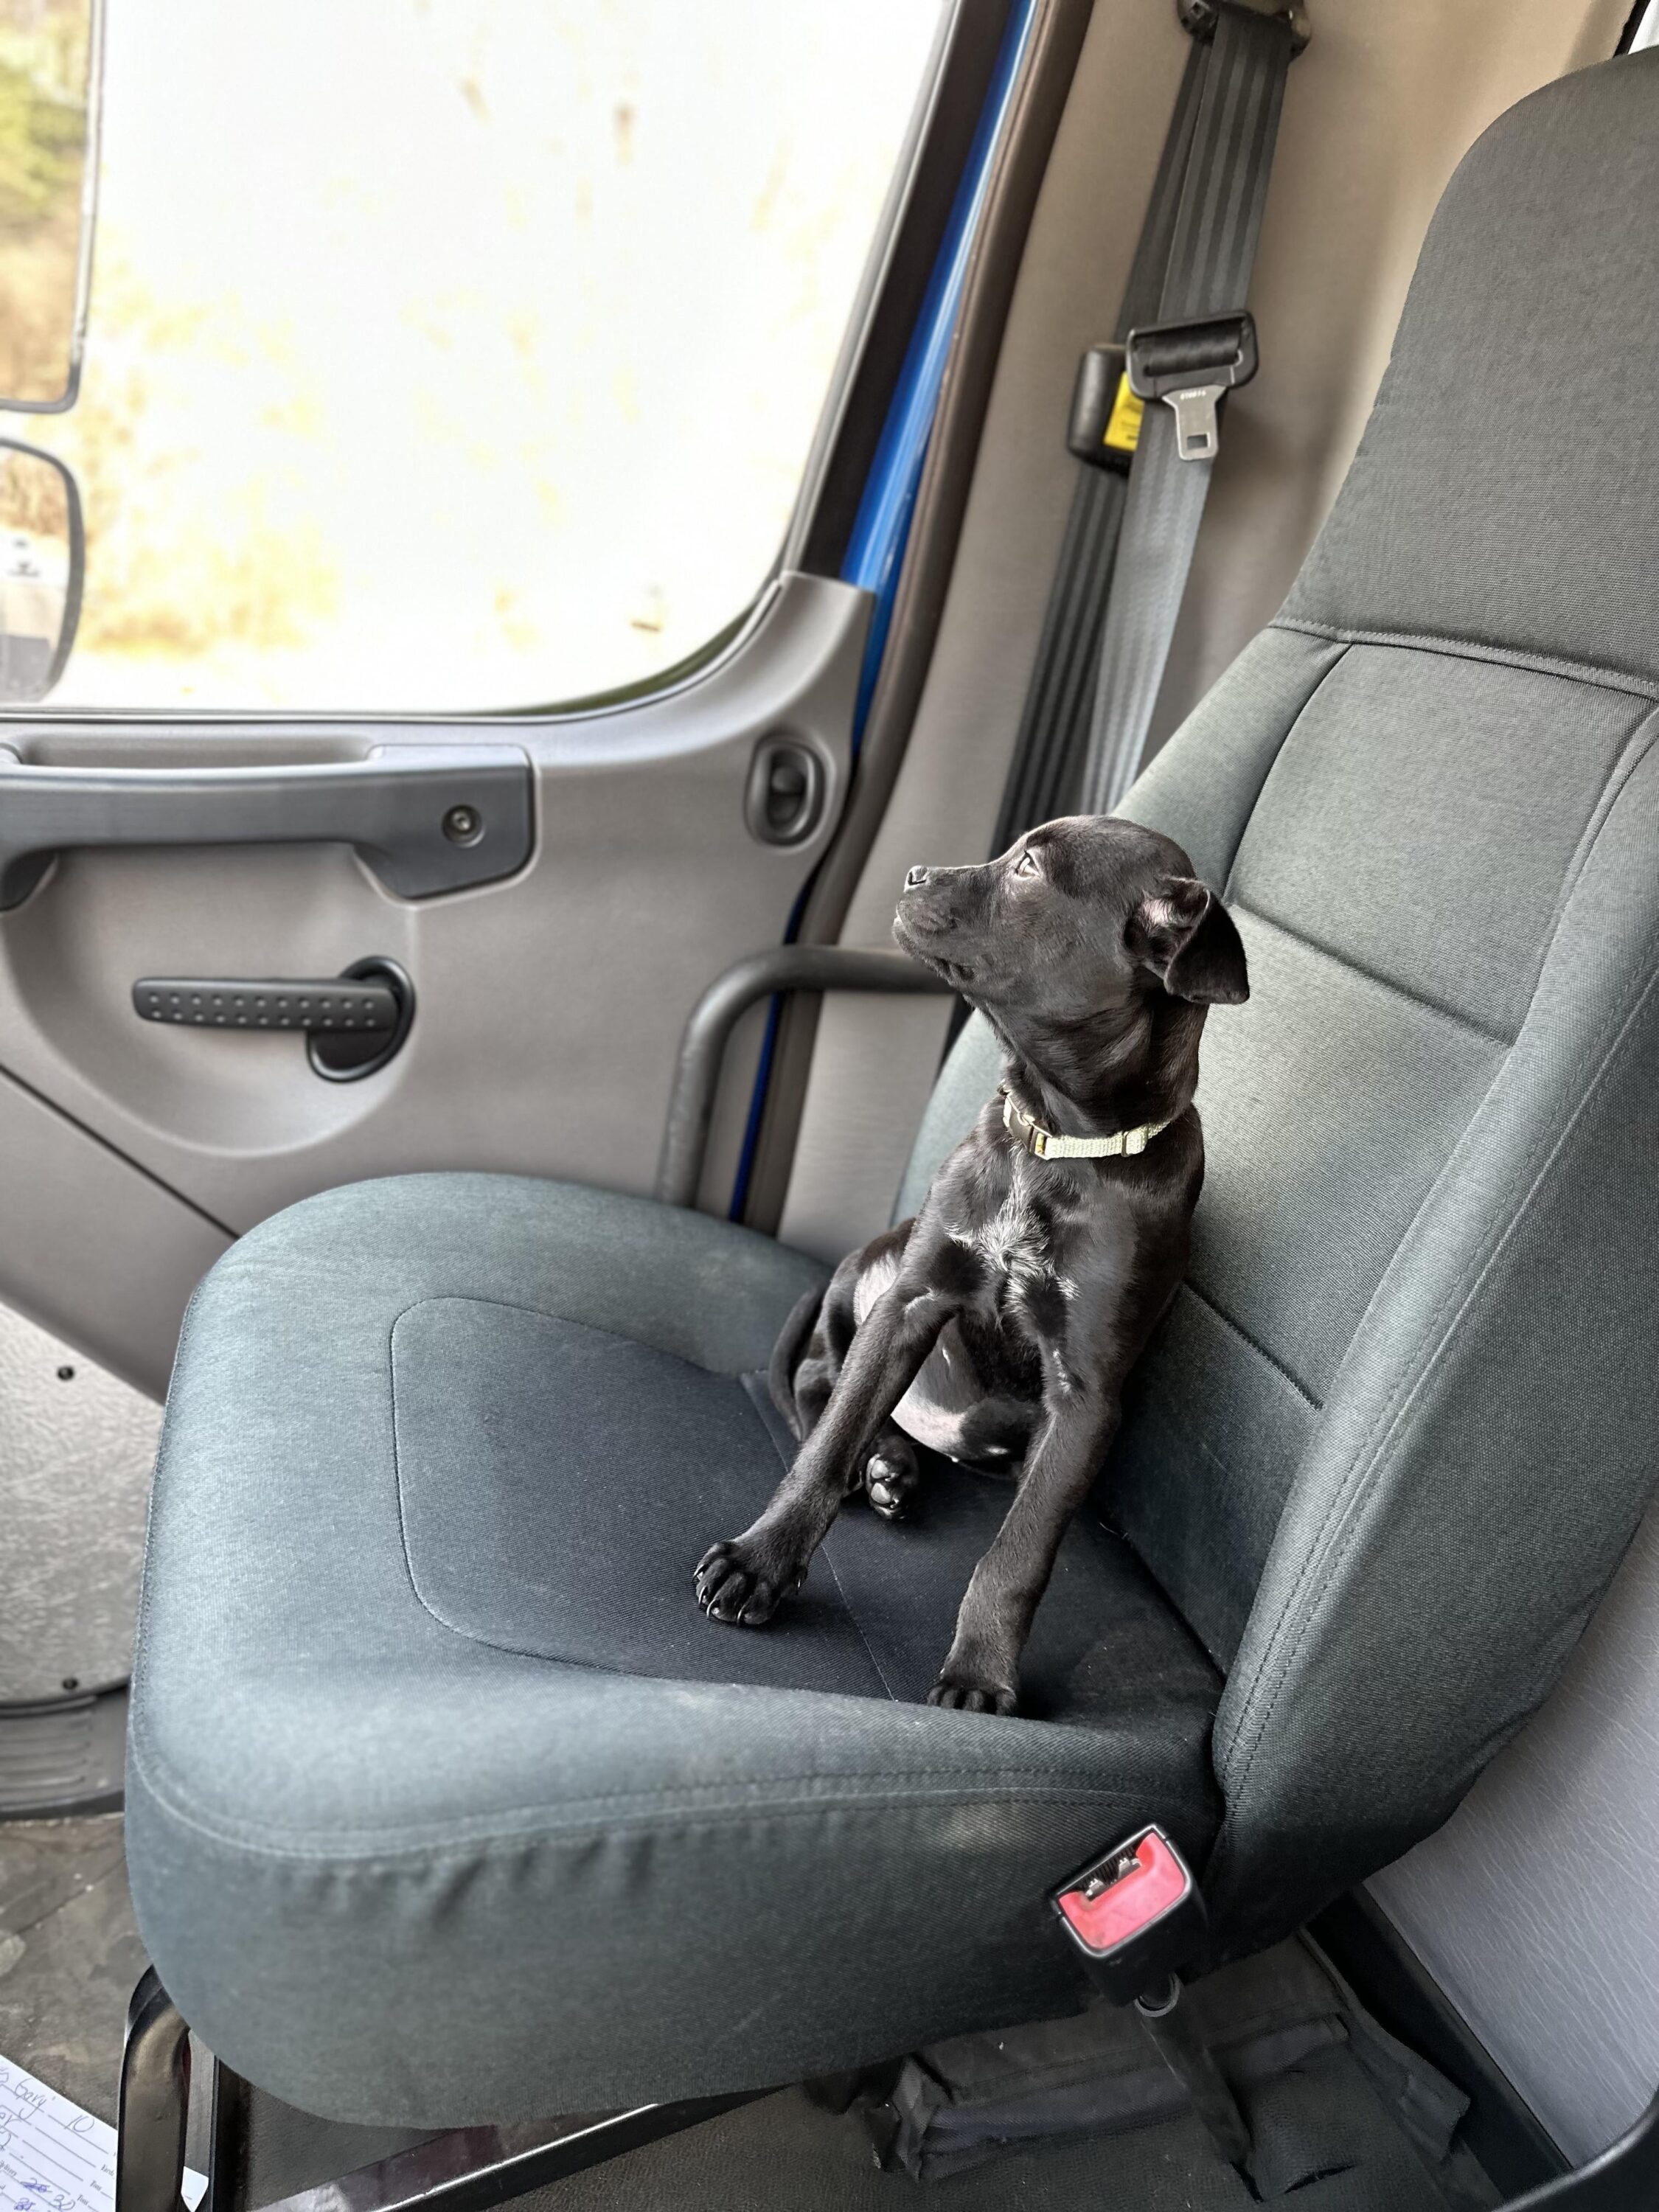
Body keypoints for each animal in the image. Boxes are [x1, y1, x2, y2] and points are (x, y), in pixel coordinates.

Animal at [690, 814, 1248, 1708]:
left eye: (1028, 870)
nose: (915, 872)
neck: (1055, 1142)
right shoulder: (912, 1299)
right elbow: (825, 1446)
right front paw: (761, 1563)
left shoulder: (1085, 1398)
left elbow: (1018, 1554)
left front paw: (980, 1671)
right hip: (870, 1271)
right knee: (819, 1380)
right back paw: (879, 1462)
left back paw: (893, 1463)